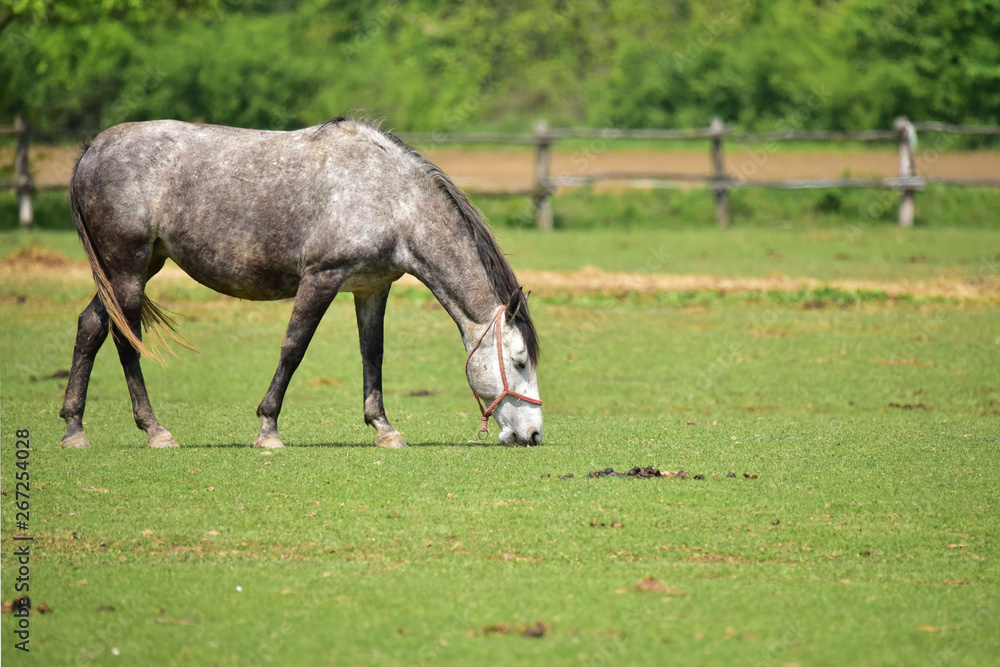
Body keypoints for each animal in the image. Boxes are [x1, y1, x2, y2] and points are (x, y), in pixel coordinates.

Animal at [59, 117, 542, 449]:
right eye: (519, 361)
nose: (534, 434)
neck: (390, 197)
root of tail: (91, 150)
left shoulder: (371, 288)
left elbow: (373, 355)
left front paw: (384, 429)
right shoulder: (321, 278)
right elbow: (294, 348)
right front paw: (268, 429)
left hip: (134, 269)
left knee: (90, 326)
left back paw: (74, 428)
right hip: (128, 267)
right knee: (125, 339)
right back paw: (155, 431)